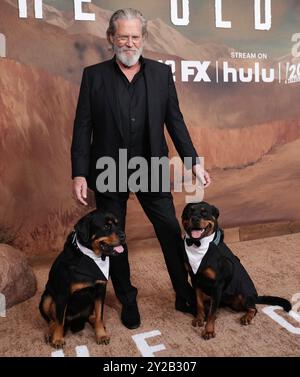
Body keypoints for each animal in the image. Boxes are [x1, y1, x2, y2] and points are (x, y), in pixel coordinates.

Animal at [39, 209, 125, 346]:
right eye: (106, 226)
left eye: (117, 224)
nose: (123, 236)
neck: (91, 257)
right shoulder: (63, 294)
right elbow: (59, 320)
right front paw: (57, 339)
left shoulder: (100, 291)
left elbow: (100, 315)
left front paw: (101, 334)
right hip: (46, 298)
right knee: (52, 320)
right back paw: (50, 332)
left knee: (90, 316)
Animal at [180, 201, 290, 340]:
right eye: (189, 211)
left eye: (204, 212)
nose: (194, 219)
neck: (199, 245)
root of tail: (255, 296)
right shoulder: (195, 279)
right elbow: (199, 303)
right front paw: (199, 319)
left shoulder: (217, 284)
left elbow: (212, 313)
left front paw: (209, 330)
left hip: (243, 294)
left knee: (253, 308)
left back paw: (247, 317)